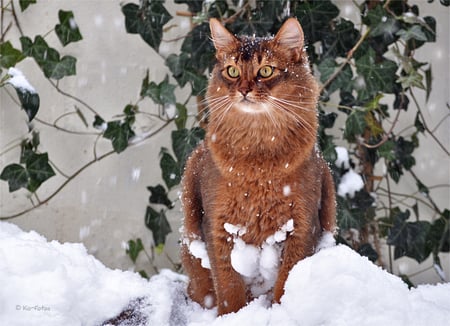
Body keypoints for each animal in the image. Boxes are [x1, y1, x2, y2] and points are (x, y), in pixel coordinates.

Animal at [181, 17, 336, 316]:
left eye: (265, 71)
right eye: (231, 71)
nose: (243, 89)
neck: (258, 160)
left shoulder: (302, 226)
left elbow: (285, 284)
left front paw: (279, 314)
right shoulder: (217, 225)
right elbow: (228, 288)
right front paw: (232, 317)